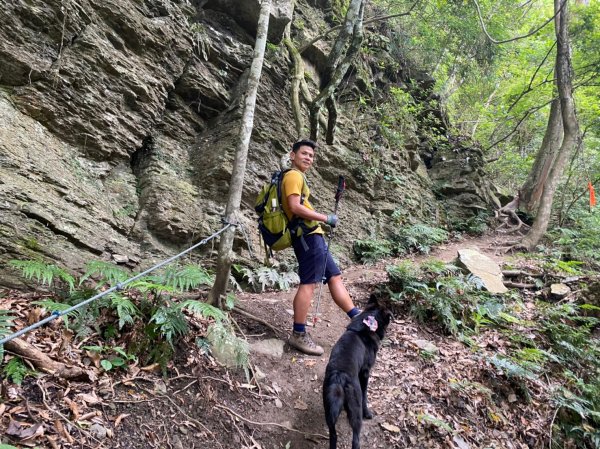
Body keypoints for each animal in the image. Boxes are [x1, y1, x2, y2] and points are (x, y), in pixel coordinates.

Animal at [324, 294, 394, 448]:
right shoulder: (365, 372)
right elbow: (365, 394)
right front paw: (367, 412)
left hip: (329, 410)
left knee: (333, 435)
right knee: (355, 439)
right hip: (354, 408)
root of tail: (339, 376)